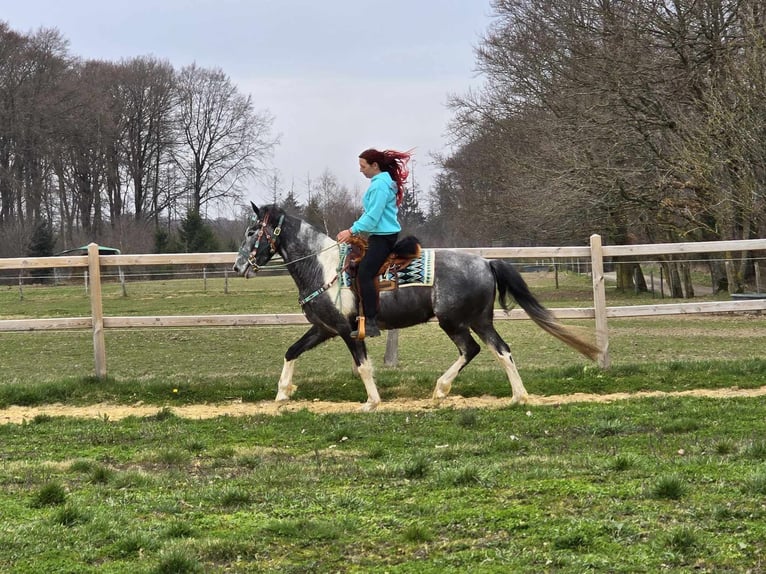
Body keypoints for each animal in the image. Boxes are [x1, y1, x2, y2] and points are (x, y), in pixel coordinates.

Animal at [232, 203, 599, 411]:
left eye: (252, 231)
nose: (238, 267)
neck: (323, 268)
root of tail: (485, 262)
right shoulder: (324, 328)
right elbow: (291, 351)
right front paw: (282, 394)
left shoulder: (349, 331)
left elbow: (363, 367)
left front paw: (372, 402)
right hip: (477, 320)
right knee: (498, 350)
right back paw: (514, 396)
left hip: (456, 321)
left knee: (477, 350)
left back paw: (447, 389)